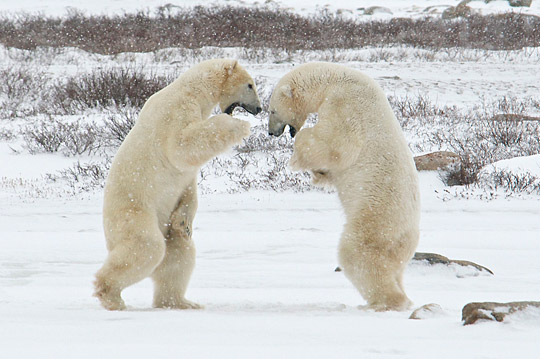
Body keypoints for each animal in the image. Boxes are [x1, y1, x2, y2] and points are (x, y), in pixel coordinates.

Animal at [94, 59, 262, 312]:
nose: (259, 108)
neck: (192, 89)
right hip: (133, 213)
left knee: (178, 254)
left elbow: (188, 182)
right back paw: (111, 296)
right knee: (147, 246)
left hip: (162, 224)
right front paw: (239, 125)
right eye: (250, 84)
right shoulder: (176, 112)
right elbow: (183, 146)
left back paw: (182, 302)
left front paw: (184, 221)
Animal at [268, 62, 420, 312]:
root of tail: (407, 238)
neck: (333, 80)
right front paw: (319, 173)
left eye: (271, 111)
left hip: (375, 221)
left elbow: (334, 143)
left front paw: (299, 152)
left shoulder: (346, 105)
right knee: (394, 270)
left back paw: (384, 302)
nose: (271, 132)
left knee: (358, 255)